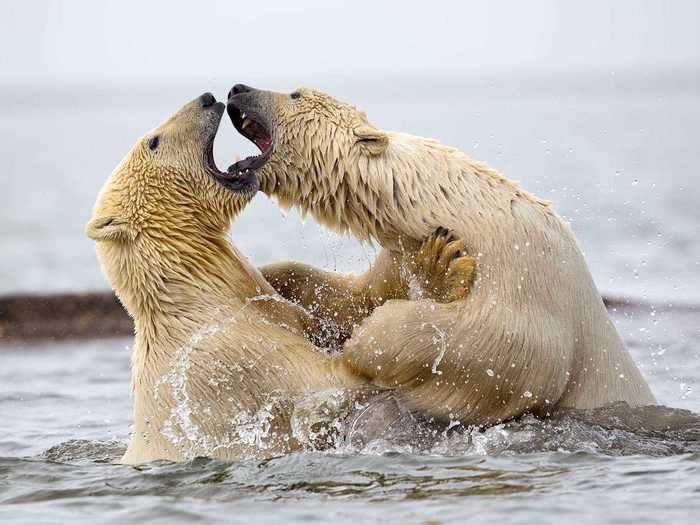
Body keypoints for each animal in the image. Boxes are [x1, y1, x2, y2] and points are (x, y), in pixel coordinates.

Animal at [85, 92, 474, 460]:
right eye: (153, 142)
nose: (207, 98)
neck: (195, 294)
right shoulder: (232, 356)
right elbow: (332, 381)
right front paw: (441, 264)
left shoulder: (267, 308)